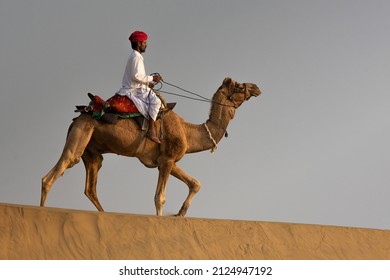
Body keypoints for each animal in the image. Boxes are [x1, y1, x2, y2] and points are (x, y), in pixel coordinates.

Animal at [40, 77, 262, 218]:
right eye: (239, 86)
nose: (256, 87)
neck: (188, 131)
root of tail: (76, 118)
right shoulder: (167, 160)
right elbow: (159, 198)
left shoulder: (167, 160)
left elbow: (195, 183)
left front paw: (180, 213)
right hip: (80, 136)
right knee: (54, 173)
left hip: (92, 152)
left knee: (90, 189)